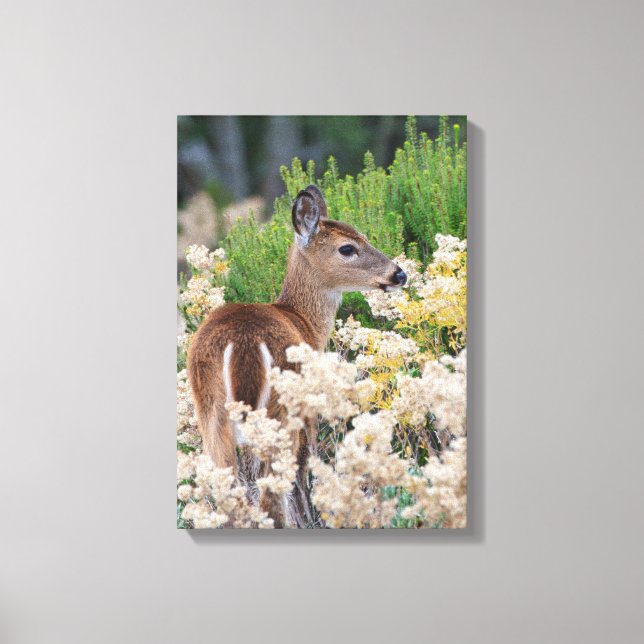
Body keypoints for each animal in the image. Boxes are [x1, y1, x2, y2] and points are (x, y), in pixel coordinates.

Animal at [187, 185, 407, 527]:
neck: (304, 321)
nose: (399, 274)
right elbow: (304, 472)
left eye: (364, 235)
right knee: (271, 493)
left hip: (210, 413)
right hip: (279, 411)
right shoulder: (308, 410)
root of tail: (242, 345)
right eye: (347, 248)